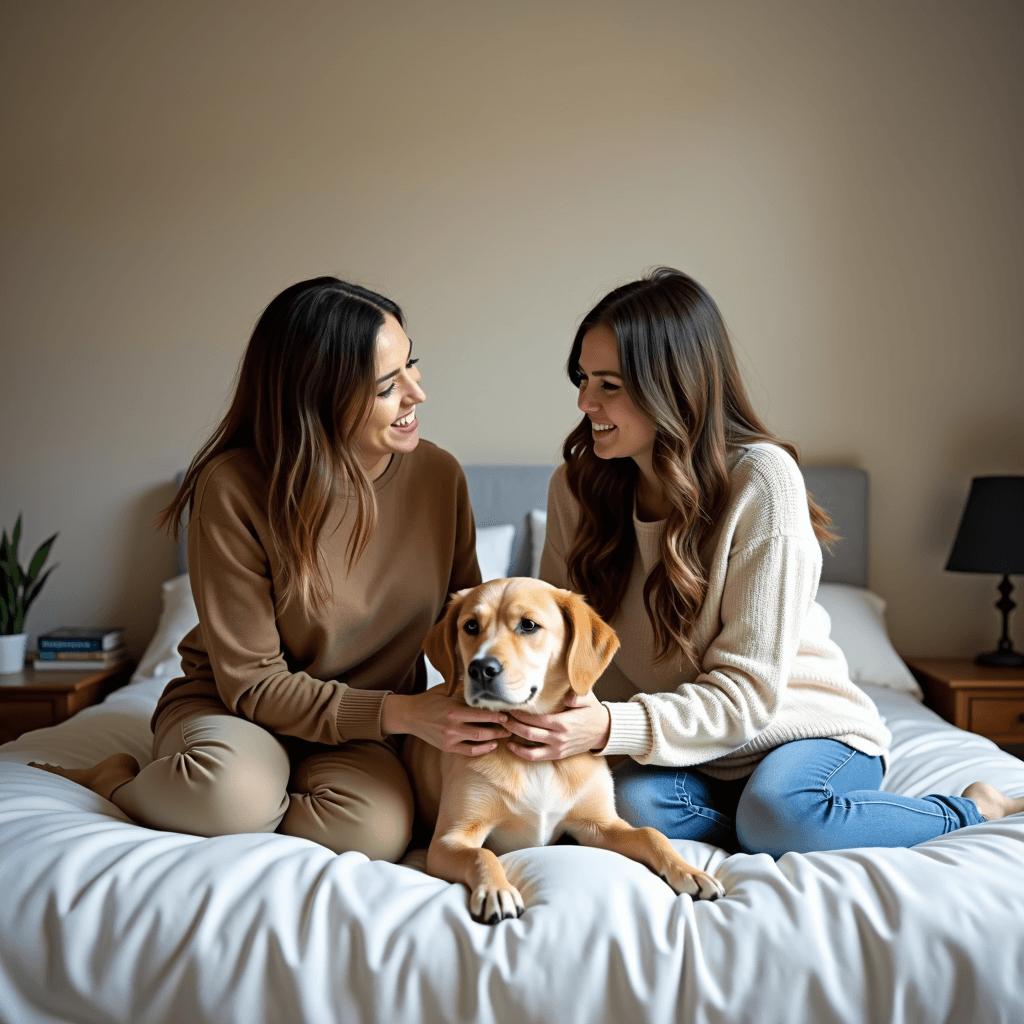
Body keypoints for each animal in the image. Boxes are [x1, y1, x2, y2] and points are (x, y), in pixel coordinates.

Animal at [401, 581, 729, 925]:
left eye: (528, 625)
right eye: (471, 626)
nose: (480, 668)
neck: (531, 752)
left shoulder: (599, 825)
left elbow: (651, 834)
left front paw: (690, 872)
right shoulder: (449, 839)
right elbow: (481, 853)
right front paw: (497, 890)